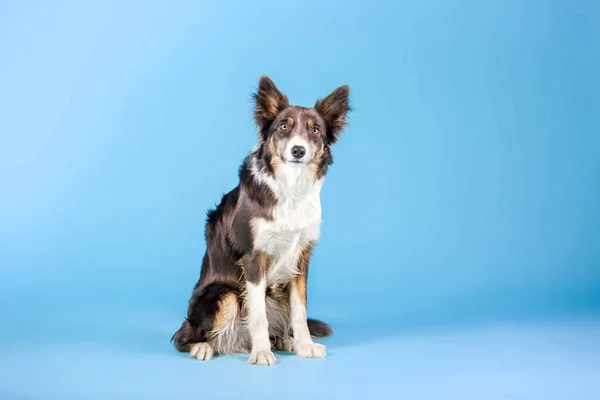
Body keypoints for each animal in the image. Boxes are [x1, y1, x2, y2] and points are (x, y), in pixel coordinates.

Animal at [171, 75, 350, 366]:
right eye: (284, 126)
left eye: (315, 131)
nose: (298, 151)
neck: (290, 187)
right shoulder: (253, 257)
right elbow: (257, 316)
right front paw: (262, 352)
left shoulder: (301, 258)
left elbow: (300, 310)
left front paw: (305, 345)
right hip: (222, 294)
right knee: (184, 336)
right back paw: (204, 347)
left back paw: (284, 341)